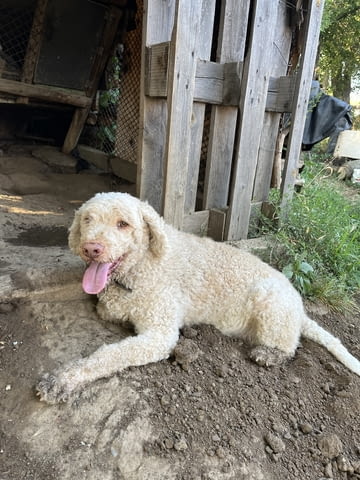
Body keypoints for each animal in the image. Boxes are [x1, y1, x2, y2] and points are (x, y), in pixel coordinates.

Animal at [36, 193, 360, 404]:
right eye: (87, 219)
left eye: (123, 224)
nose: (91, 248)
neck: (141, 267)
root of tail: (300, 309)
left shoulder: (160, 334)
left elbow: (108, 355)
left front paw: (63, 380)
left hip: (270, 301)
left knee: (289, 345)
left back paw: (270, 353)